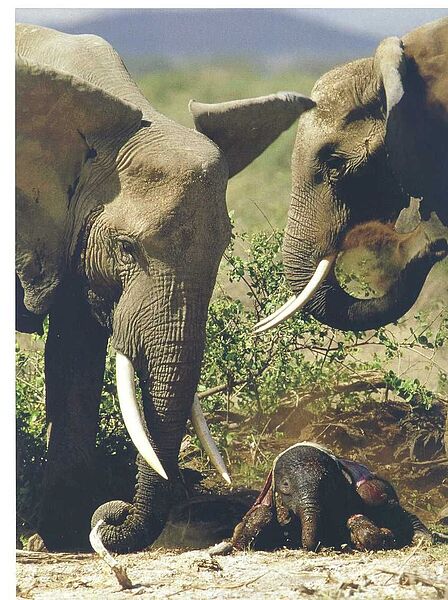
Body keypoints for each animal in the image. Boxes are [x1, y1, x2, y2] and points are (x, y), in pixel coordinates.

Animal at [229, 440, 428, 552]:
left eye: (328, 484)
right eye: (285, 484)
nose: (322, 547)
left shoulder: (371, 494)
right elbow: (252, 525)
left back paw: (421, 536)